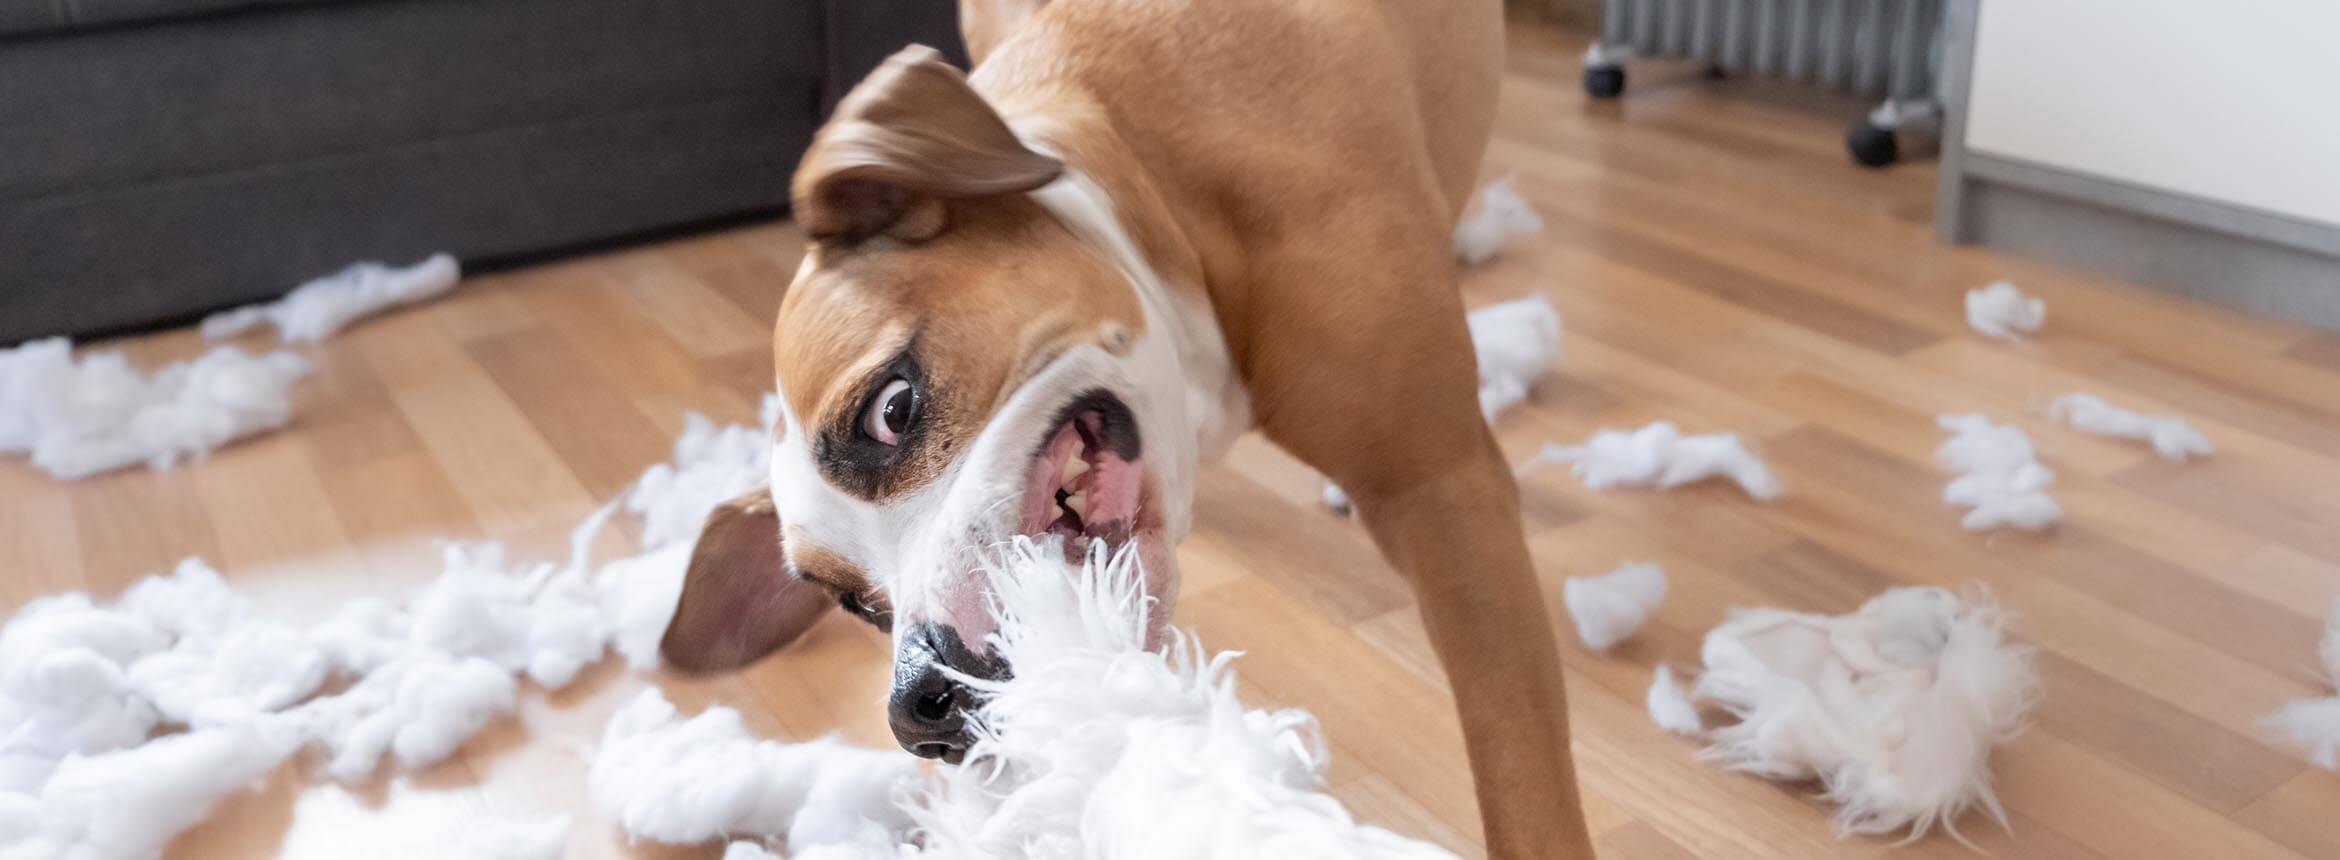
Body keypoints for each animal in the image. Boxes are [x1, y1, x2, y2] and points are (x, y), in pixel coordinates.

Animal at [669, 0, 1600, 855]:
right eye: (853, 603)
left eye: (891, 412)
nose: (919, 708)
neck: (1163, 193)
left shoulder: (1443, 494)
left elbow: (1519, 768)